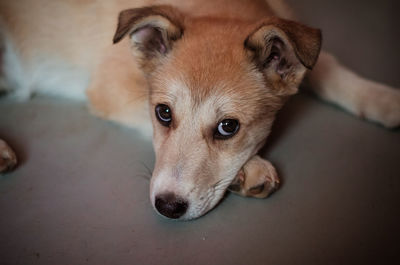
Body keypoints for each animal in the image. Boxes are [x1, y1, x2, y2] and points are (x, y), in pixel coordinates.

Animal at [0, 0, 400, 219]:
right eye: (163, 113)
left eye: (228, 127)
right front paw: (250, 168)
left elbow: (331, 68)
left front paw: (385, 100)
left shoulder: (305, 52)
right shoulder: (109, 86)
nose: (167, 207)